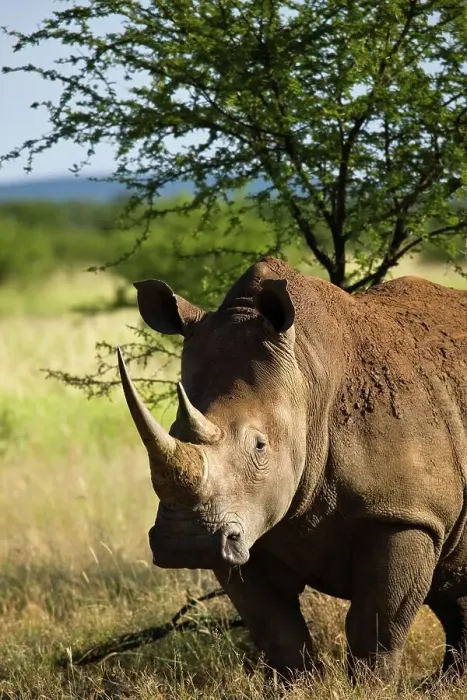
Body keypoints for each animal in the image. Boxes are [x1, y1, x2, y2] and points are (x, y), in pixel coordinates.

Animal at [117, 256, 467, 687]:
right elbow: (276, 627)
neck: (308, 375)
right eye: (172, 429)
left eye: (260, 446)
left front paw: (371, 688)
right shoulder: (244, 524)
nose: (185, 543)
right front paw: (302, 686)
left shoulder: (405, 513)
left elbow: (376, 626)